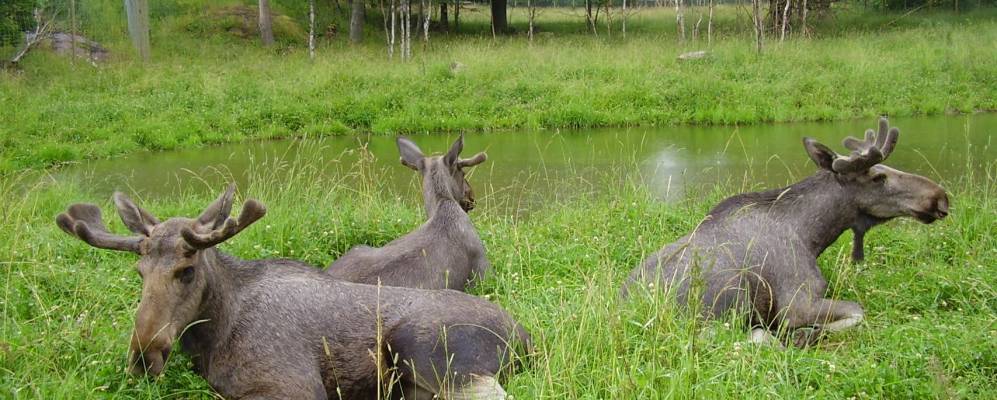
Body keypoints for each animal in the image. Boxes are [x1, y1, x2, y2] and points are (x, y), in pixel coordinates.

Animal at [56, 186, 528, 400]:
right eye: (139, 272)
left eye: (186, 271)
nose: (143, 355)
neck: (213, 334)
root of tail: (526, 338)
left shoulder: (292, 386)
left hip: (430, 355)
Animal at [624, 116, 948, 346]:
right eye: (879, 177)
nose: (940, 197)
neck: (813, 234)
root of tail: (623, 306)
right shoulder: (798, 303)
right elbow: (858, 311)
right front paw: (806, 333)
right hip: (732, 294)